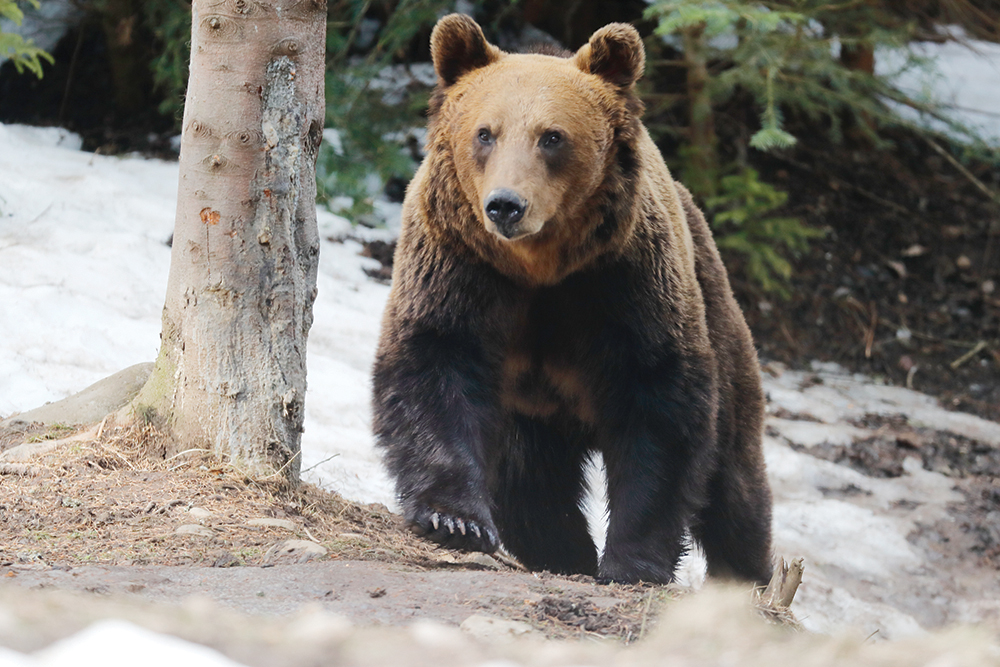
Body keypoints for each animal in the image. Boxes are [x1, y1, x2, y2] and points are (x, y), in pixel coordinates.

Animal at [372, 14, 768, 584]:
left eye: (552, 137)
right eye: (485, 133)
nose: (505, 206)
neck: (540, 267)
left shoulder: (624, 284)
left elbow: (659, 407)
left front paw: (633, 559)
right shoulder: (460, 268)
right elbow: (435, 365)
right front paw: (456, 520)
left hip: (718, 315)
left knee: (735, 481)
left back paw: (746, 573)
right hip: (529, 413)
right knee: (531, 479)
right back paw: (563, 551)